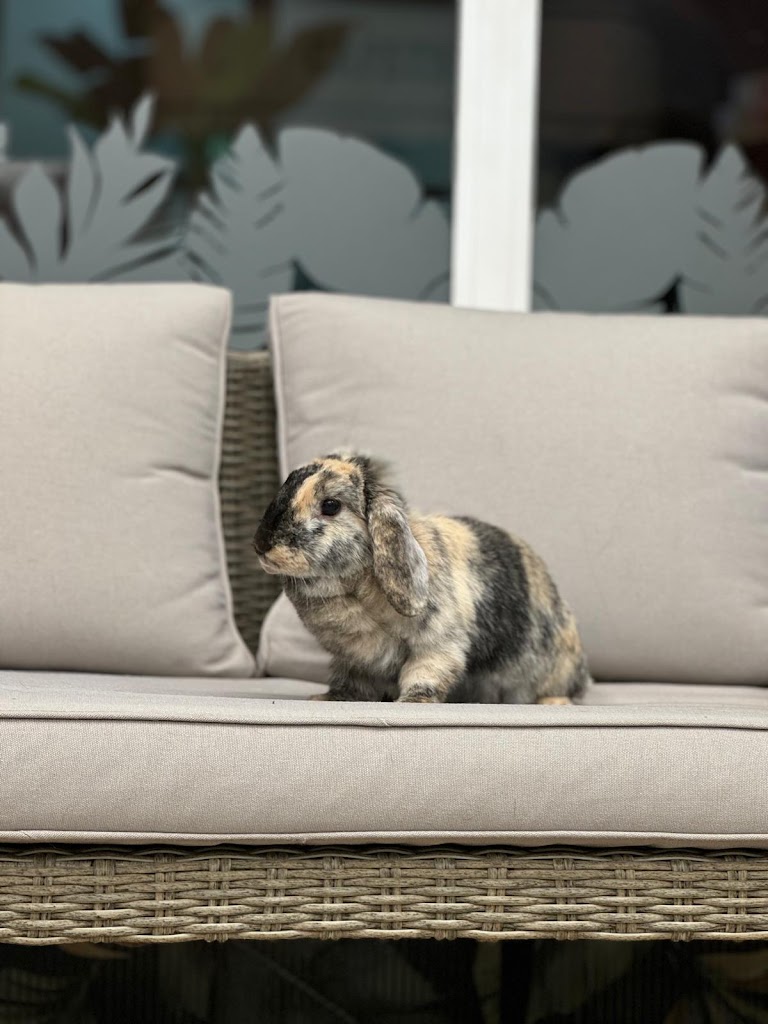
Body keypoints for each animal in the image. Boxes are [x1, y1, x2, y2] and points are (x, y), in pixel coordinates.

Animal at [253, 453, 592, 704]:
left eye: (331, 506)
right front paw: (326, 698)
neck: (354, 592)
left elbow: (425, 674)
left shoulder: (439, 645)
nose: (261, 545)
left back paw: (554, 702)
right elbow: (351, 684)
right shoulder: (354, 661)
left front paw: (412, 702)